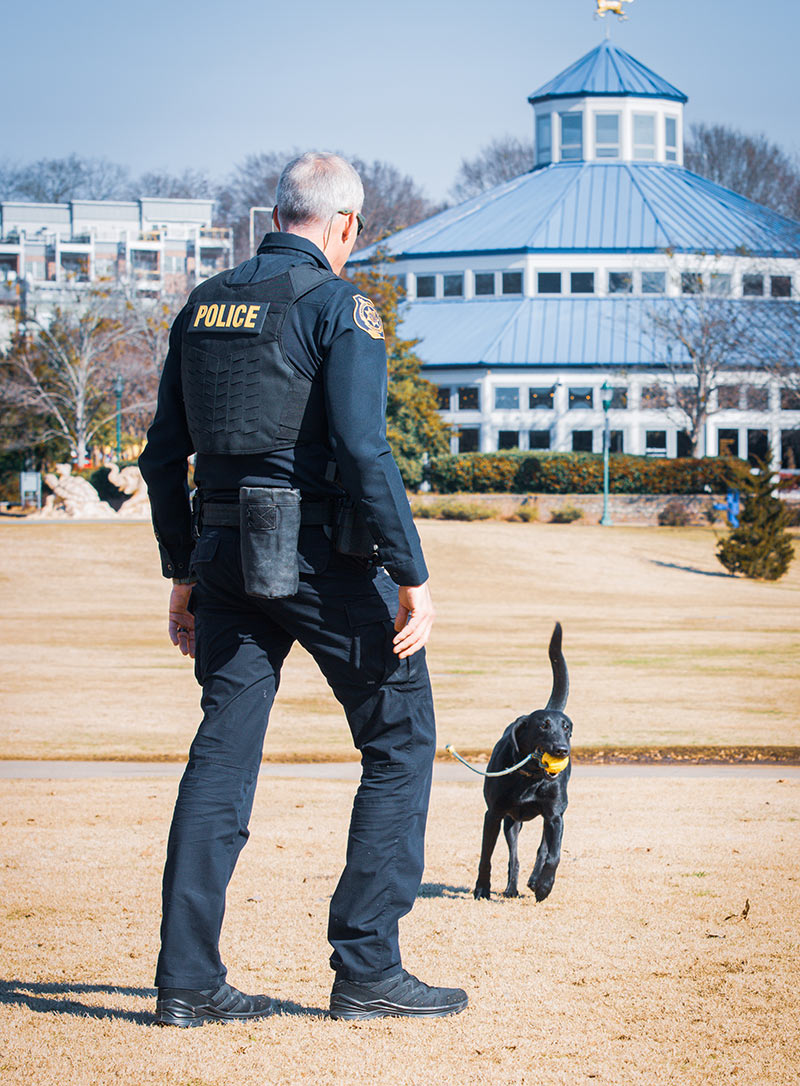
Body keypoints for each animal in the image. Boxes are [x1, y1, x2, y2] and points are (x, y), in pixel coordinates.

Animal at [473, 622, 572, 902]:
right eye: (543, 726)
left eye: (567, 728)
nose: (562, 750)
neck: (530, 777)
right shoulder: (494, 814)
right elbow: (486, 856)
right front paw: (481, 888)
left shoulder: (555, 817)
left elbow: (553, 855)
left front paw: (544, 886)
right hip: (511, 822)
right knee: (513, 857)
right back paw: (511, 888)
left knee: (542, 850)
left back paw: (534, 881)